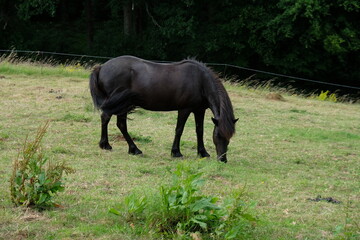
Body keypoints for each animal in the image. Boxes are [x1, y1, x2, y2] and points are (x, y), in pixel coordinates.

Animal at [89, 55, 238, 162]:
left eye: (229, 137)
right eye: (218, 135)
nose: (223, 159)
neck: (200, 81)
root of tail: (101, 67)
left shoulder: (199, 110)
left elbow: (199, 131)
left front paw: (202, 152)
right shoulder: (184, 109)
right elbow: (179, 130)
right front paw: (176, 152)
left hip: (123, 105)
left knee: (120, 124)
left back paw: (132, 149)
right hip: (118, 103)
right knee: (107, 118)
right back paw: (108, 145)